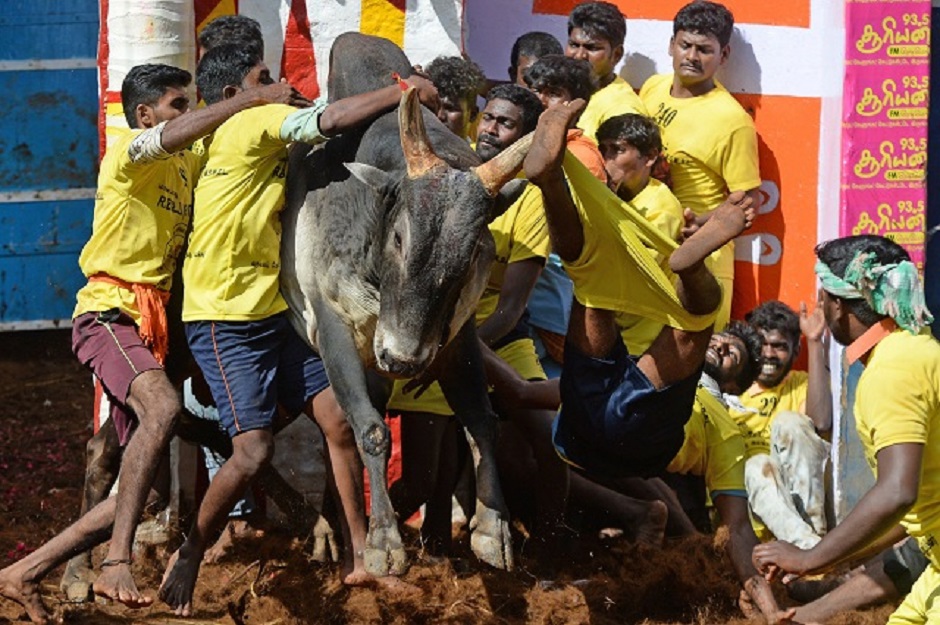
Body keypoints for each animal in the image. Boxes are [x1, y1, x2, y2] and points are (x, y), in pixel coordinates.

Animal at [280, 31, 532, 572]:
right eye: (399, 237)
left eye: (472, 252)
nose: (401, 357)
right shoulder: (332, 328)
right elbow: (372, 431)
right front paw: (382, 542)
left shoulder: (454, 338)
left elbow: (482, 421)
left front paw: (493, 528)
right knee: (340, 431)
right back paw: (334, 532)